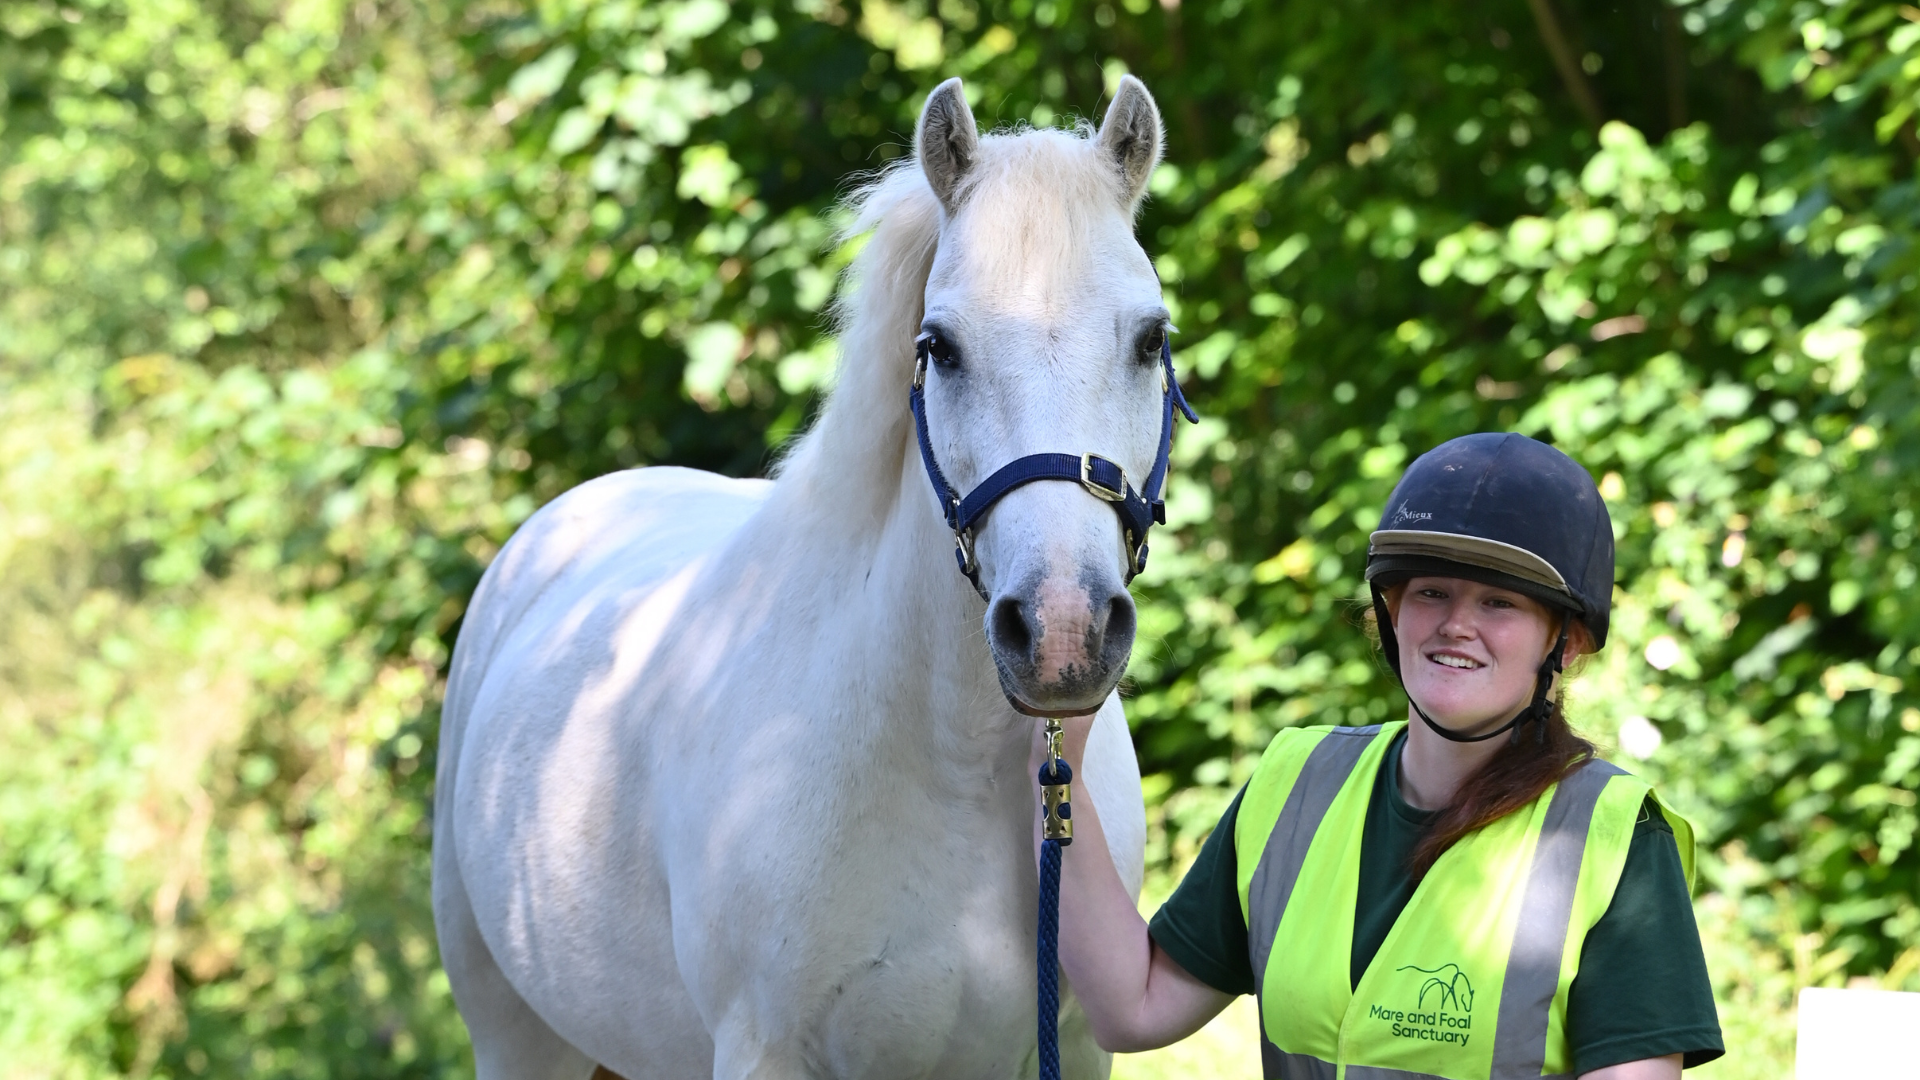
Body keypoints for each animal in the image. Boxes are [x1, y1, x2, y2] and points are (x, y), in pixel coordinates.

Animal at [433, 75, 1175, 1080]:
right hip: (513, 1037)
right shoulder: (765, 1050)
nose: (1063, 631)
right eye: (939, 346)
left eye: (1151, 339)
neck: (949, 775)